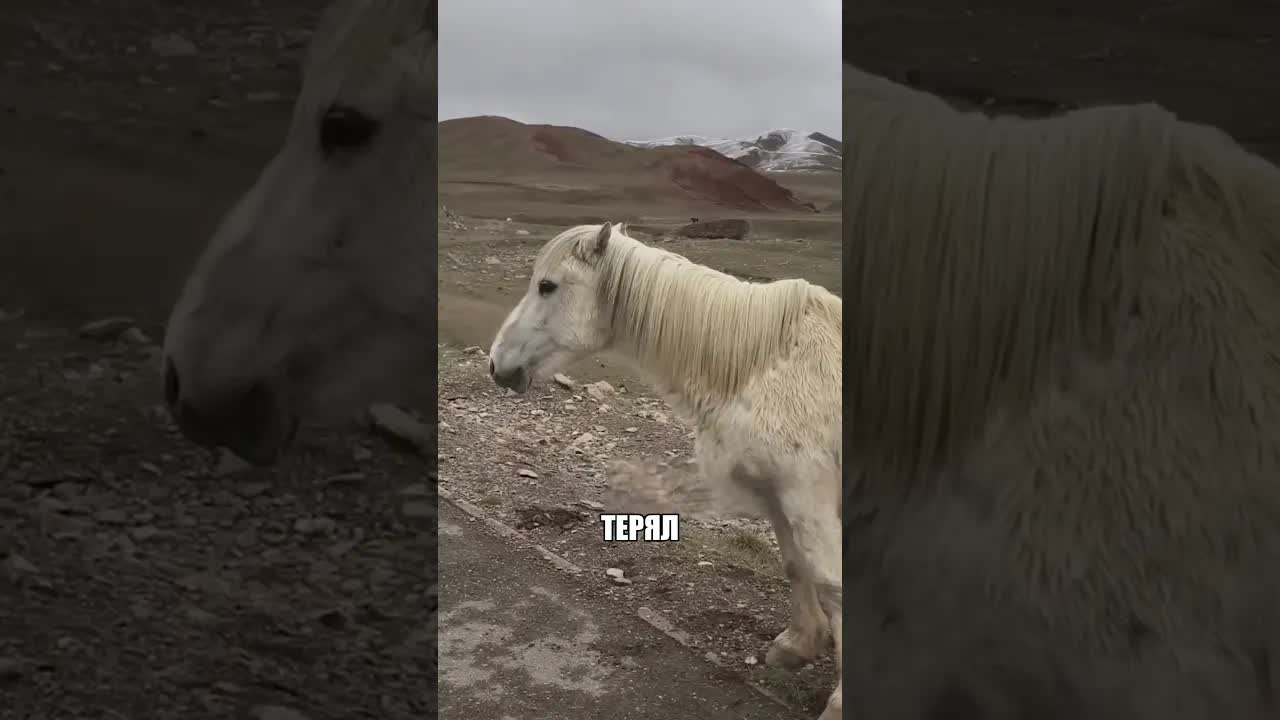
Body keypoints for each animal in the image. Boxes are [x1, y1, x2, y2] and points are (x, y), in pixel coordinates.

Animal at [488, 222, 844, 719]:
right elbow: (796, 565)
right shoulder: (776, 491)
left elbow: (832, 584)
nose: (496, 364)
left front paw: (840, 700)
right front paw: (798, 645)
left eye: (547, 286)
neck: (770, 364)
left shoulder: (807, 494)